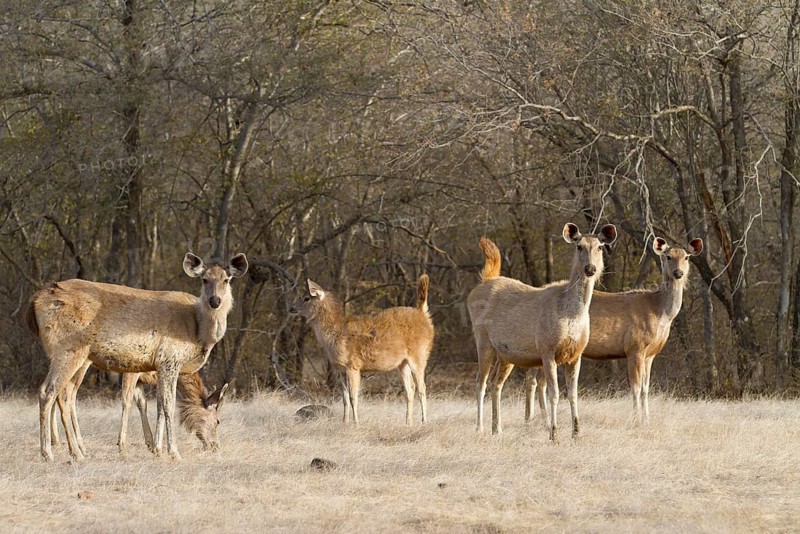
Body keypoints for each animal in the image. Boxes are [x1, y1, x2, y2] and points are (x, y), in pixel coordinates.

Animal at [26, 252, 247, 461]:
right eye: (204, 280)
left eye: (226, 280)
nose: (215, 301)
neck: (197, 332)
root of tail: (36, 299)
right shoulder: (168, 359)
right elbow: (166, 405)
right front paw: (172, 452)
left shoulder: (153, 367)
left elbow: (156, 404)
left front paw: (157, 449)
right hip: (68, 348)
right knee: (49, 391)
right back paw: (50, 452)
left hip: (73, 355)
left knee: (64, 394)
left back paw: (75, 451)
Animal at [290, 275, 434, 425]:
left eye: (306, 298)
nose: (291, 308)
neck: (334, 336)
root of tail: (423, 314)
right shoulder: (340, 368)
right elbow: (344, 398)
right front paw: (345, 422)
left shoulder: (353, 365)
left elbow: (353, 397)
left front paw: (356, 423)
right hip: (402, 362)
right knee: (410, 389)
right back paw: (408, 422)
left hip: (419, 355)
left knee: (422, 388)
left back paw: (424, 422)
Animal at [467, 223, 617, 441]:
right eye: (579, 246)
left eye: (599, 247)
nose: (590, 269)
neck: (571, 316)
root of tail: (482, 283)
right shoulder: (547, 351)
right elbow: (553, 394)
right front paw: (554, 434)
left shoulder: (576, 354)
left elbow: (573, 394)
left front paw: (576, 433)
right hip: (482, 339)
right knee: (481, 381)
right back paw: (479, 428)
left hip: (506, 354)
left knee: (496, 384)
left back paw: (497, 429)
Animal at [524, 236, 703, 426]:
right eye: (668, 256)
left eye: (686, 257)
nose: (678, 273)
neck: (659, 312)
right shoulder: (634, 347)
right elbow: (636, 387)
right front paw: (637, 420)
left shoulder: (650, 354)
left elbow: (646, 388)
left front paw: (647, 420)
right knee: (537, 380)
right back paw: (539, 420)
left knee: (533, 378)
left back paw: (531, 419)